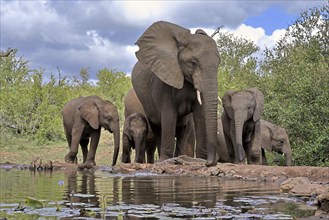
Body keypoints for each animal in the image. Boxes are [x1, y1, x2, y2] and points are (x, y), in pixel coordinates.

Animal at [129, 20, 219, 166]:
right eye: (193, 63)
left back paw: (180, 157)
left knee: (183, 129)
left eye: (218, 64)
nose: (209, 162)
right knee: (158, 127)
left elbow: (200, 115)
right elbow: (169, 114)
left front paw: (200, 160)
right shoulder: (162, 79)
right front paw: (166, 161)